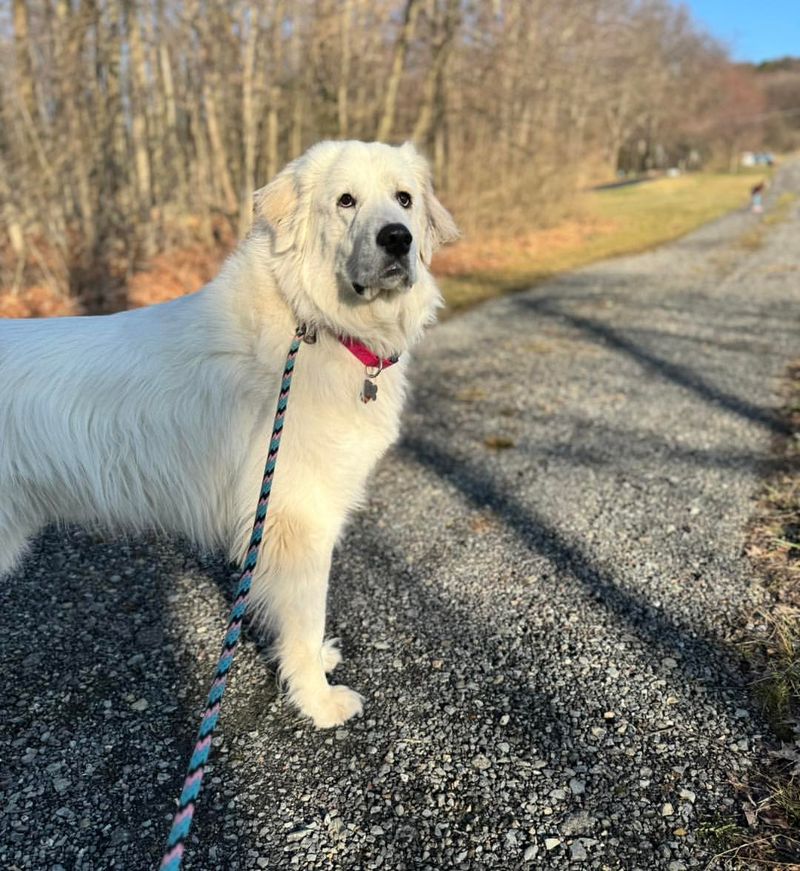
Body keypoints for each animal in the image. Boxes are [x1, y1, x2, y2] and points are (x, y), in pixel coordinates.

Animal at [0, 141, 460, 728]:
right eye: (345, 201)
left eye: (404, 199)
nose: (398, 238)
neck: (309, 319)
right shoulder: (298, 519)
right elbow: (306, 617)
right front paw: (319, 701)